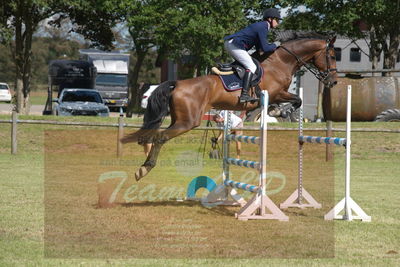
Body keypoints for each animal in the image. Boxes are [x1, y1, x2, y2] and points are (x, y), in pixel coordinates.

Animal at [122, 32, 338, 181]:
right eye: (333, 56)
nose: (334, 81)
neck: (280, 62)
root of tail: (179, 83)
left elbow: (294, 100)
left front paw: (276, 111)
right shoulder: (276, 93)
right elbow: (296, 100)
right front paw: (280, 111)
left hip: (179, 119)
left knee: (155, 135)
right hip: (188, 122)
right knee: (160, 137)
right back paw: (144, 168)